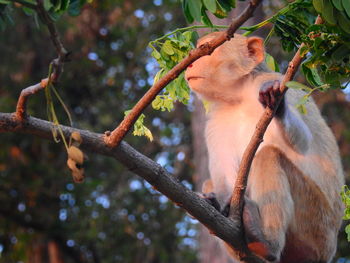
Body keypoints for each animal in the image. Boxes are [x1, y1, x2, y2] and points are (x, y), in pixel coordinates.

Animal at [186, 31, 344, 263]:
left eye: (207, 49)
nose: (189, 64)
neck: (239, 96)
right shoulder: (216, 121)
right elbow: (225, 176)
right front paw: (219, 204)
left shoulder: (277, 83)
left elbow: (303, 143)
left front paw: (277, 107)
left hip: (317, 226)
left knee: (268, 155)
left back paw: (266, 241)